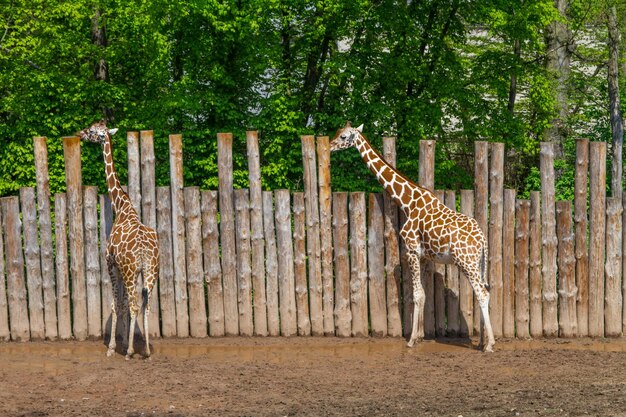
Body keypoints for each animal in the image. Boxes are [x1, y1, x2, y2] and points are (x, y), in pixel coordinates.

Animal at [78, 120, 160, 358]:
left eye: (93, 131)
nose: (80, 133)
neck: (122, 207)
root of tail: (144, 250)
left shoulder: (111, 264)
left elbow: (116, 305)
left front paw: (114, 347)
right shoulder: (124, 269)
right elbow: (123, 305)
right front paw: (123, 343)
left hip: (133, 272)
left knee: (135, 305)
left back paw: (132, 351)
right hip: (151, 271)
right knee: (146, 306)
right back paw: (147, 351)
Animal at [330, 121, 494, 352]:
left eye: (343, 136)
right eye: (337, 133)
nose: (329, 145)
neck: (407, 202)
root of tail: (482, 240)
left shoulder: (411, 250)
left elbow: (416, 295)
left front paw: (410, 340)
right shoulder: (424, 256)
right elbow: (423, 295)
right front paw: (419, 336)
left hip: (466, 262)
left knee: (482, 293)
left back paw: (490, 344)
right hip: (478, 263)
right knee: (484, 291)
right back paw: (482, 341)